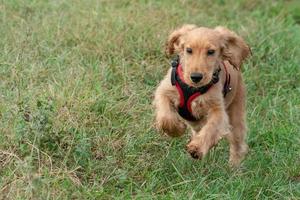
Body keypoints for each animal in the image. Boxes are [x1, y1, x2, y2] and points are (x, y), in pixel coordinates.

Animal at [154, 24, 250, 166]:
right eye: (189, 50)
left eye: (211, 52)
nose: (196, 77)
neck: (193, 88)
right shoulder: (164, 90)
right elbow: (166, 116)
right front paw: (176, 130)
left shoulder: (218, 109)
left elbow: (211, 127)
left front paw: (197, 148)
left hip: (236, 112)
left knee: (238, 143)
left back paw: (233, 166)